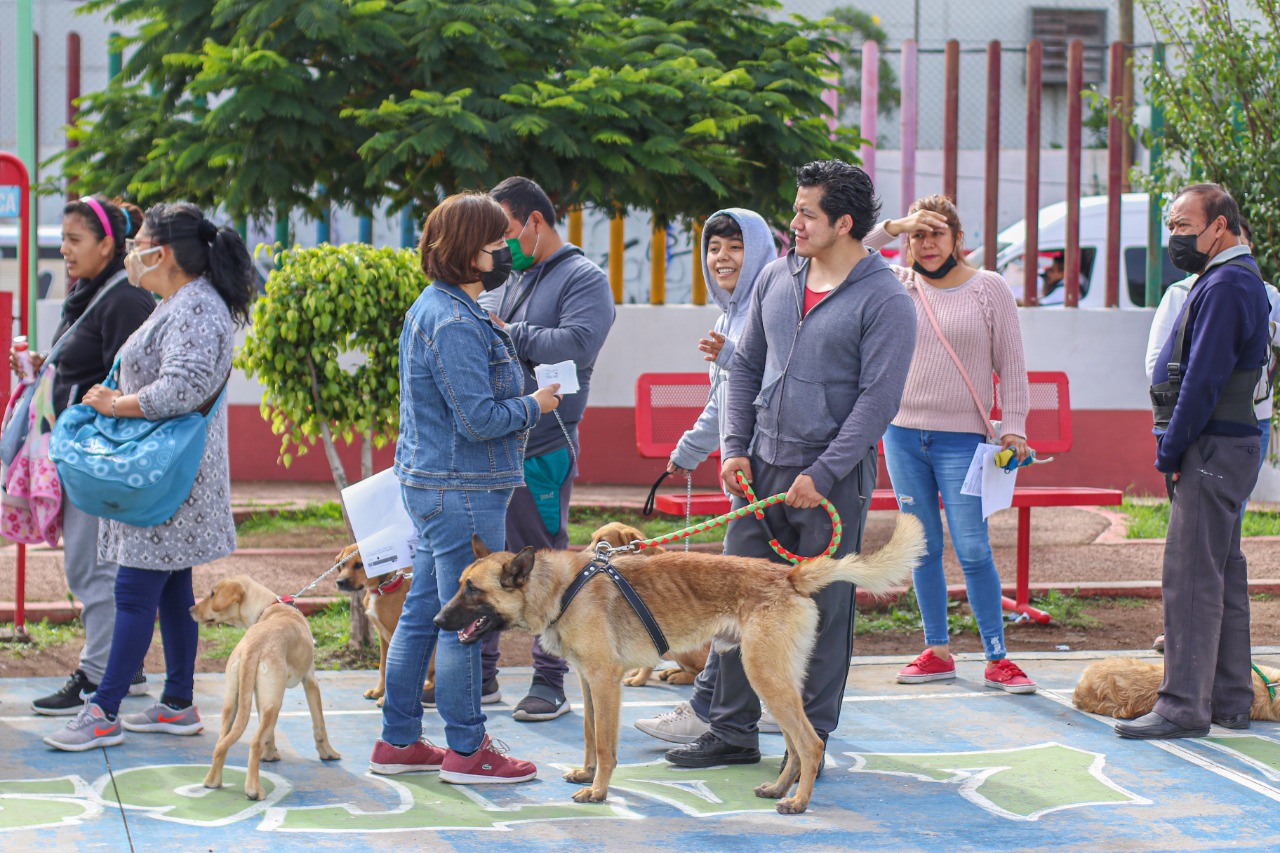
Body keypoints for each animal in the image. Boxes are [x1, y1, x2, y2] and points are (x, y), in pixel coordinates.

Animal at [189, 571, 340, 799]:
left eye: (212, 594)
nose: (190, 610)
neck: (269, 607)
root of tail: (253, 646)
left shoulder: (261, 694)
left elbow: (269, 734)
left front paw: (270, 755)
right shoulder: (310, 681)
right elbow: (319, 724)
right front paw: (328, 753)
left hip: (234, 703)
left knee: (222, 741)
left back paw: (213, 781)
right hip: (274, 704)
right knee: (254, 742)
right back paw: (253, 790)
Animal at [330, 545, 435, 701]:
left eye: (359, 565)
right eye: (342, 564)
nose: (340, 582)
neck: (382, 590)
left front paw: (385, 699)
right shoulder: (382, 636)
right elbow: (383, 667)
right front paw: (378, 691)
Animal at [586, 517, 716, 686]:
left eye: (603, 543)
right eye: (592, 539)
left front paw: (639, 679)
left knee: (698, 673)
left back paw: (679, 676)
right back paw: (671, 671)